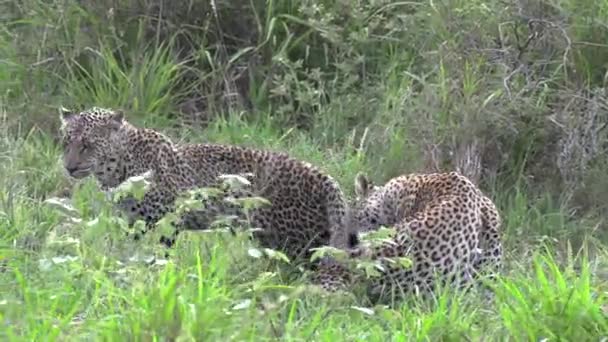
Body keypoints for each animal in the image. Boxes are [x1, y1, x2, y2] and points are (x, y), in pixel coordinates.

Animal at [58, 107, 354, 268]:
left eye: (88, 146)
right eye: (66, 143)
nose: (69, 168)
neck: (117, 171)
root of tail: (326, 178)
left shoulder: (169, 217)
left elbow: (160, 252)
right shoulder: (133, 221)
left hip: (298, 242)